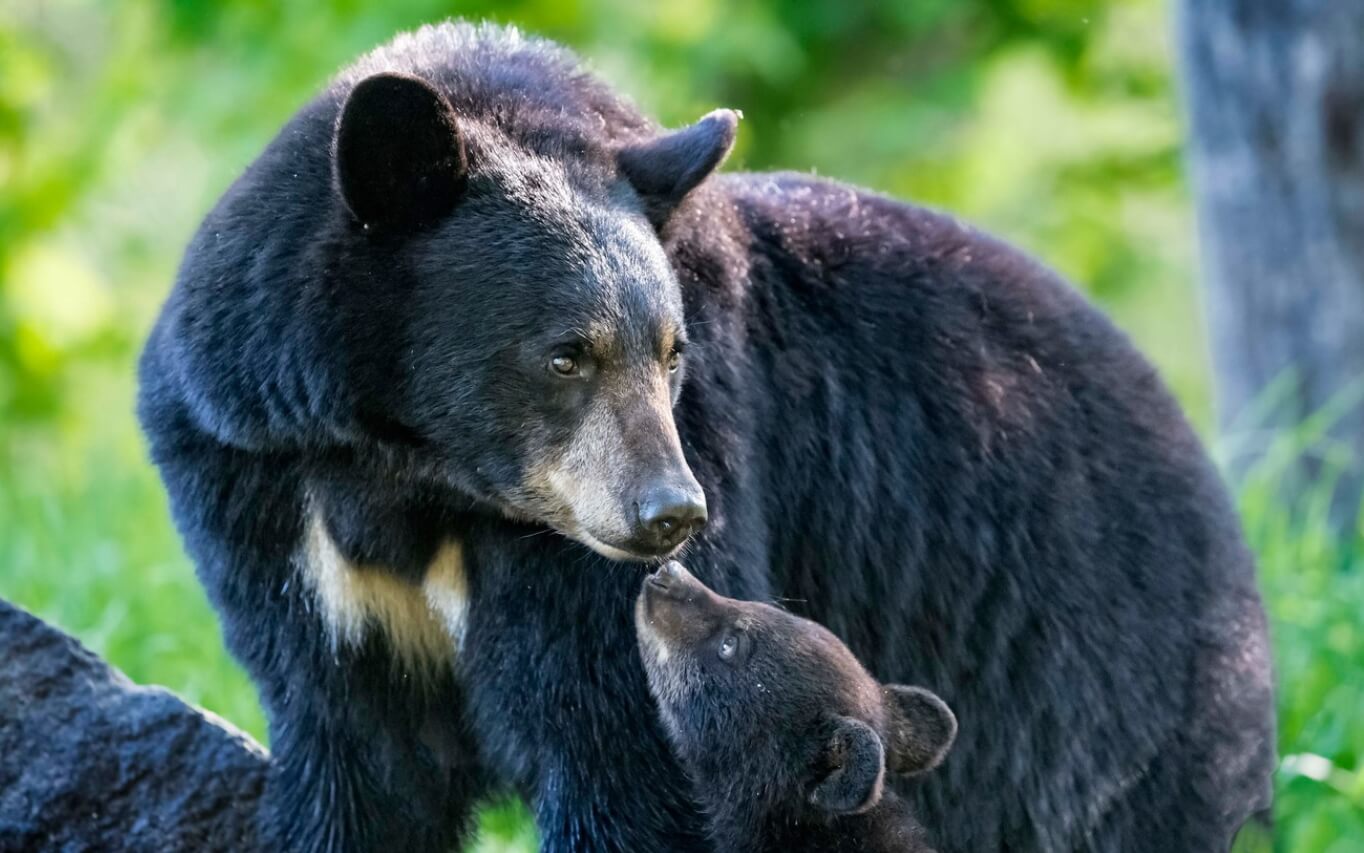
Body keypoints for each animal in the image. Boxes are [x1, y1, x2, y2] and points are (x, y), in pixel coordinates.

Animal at [135, 18, 1265, 851]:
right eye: (566, 354)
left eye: (670, 349)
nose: (671, 514)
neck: (414, 474)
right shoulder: (263, 491)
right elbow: (355, 753)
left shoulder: (646, 504)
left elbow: (622, 746)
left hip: (1095, 697)